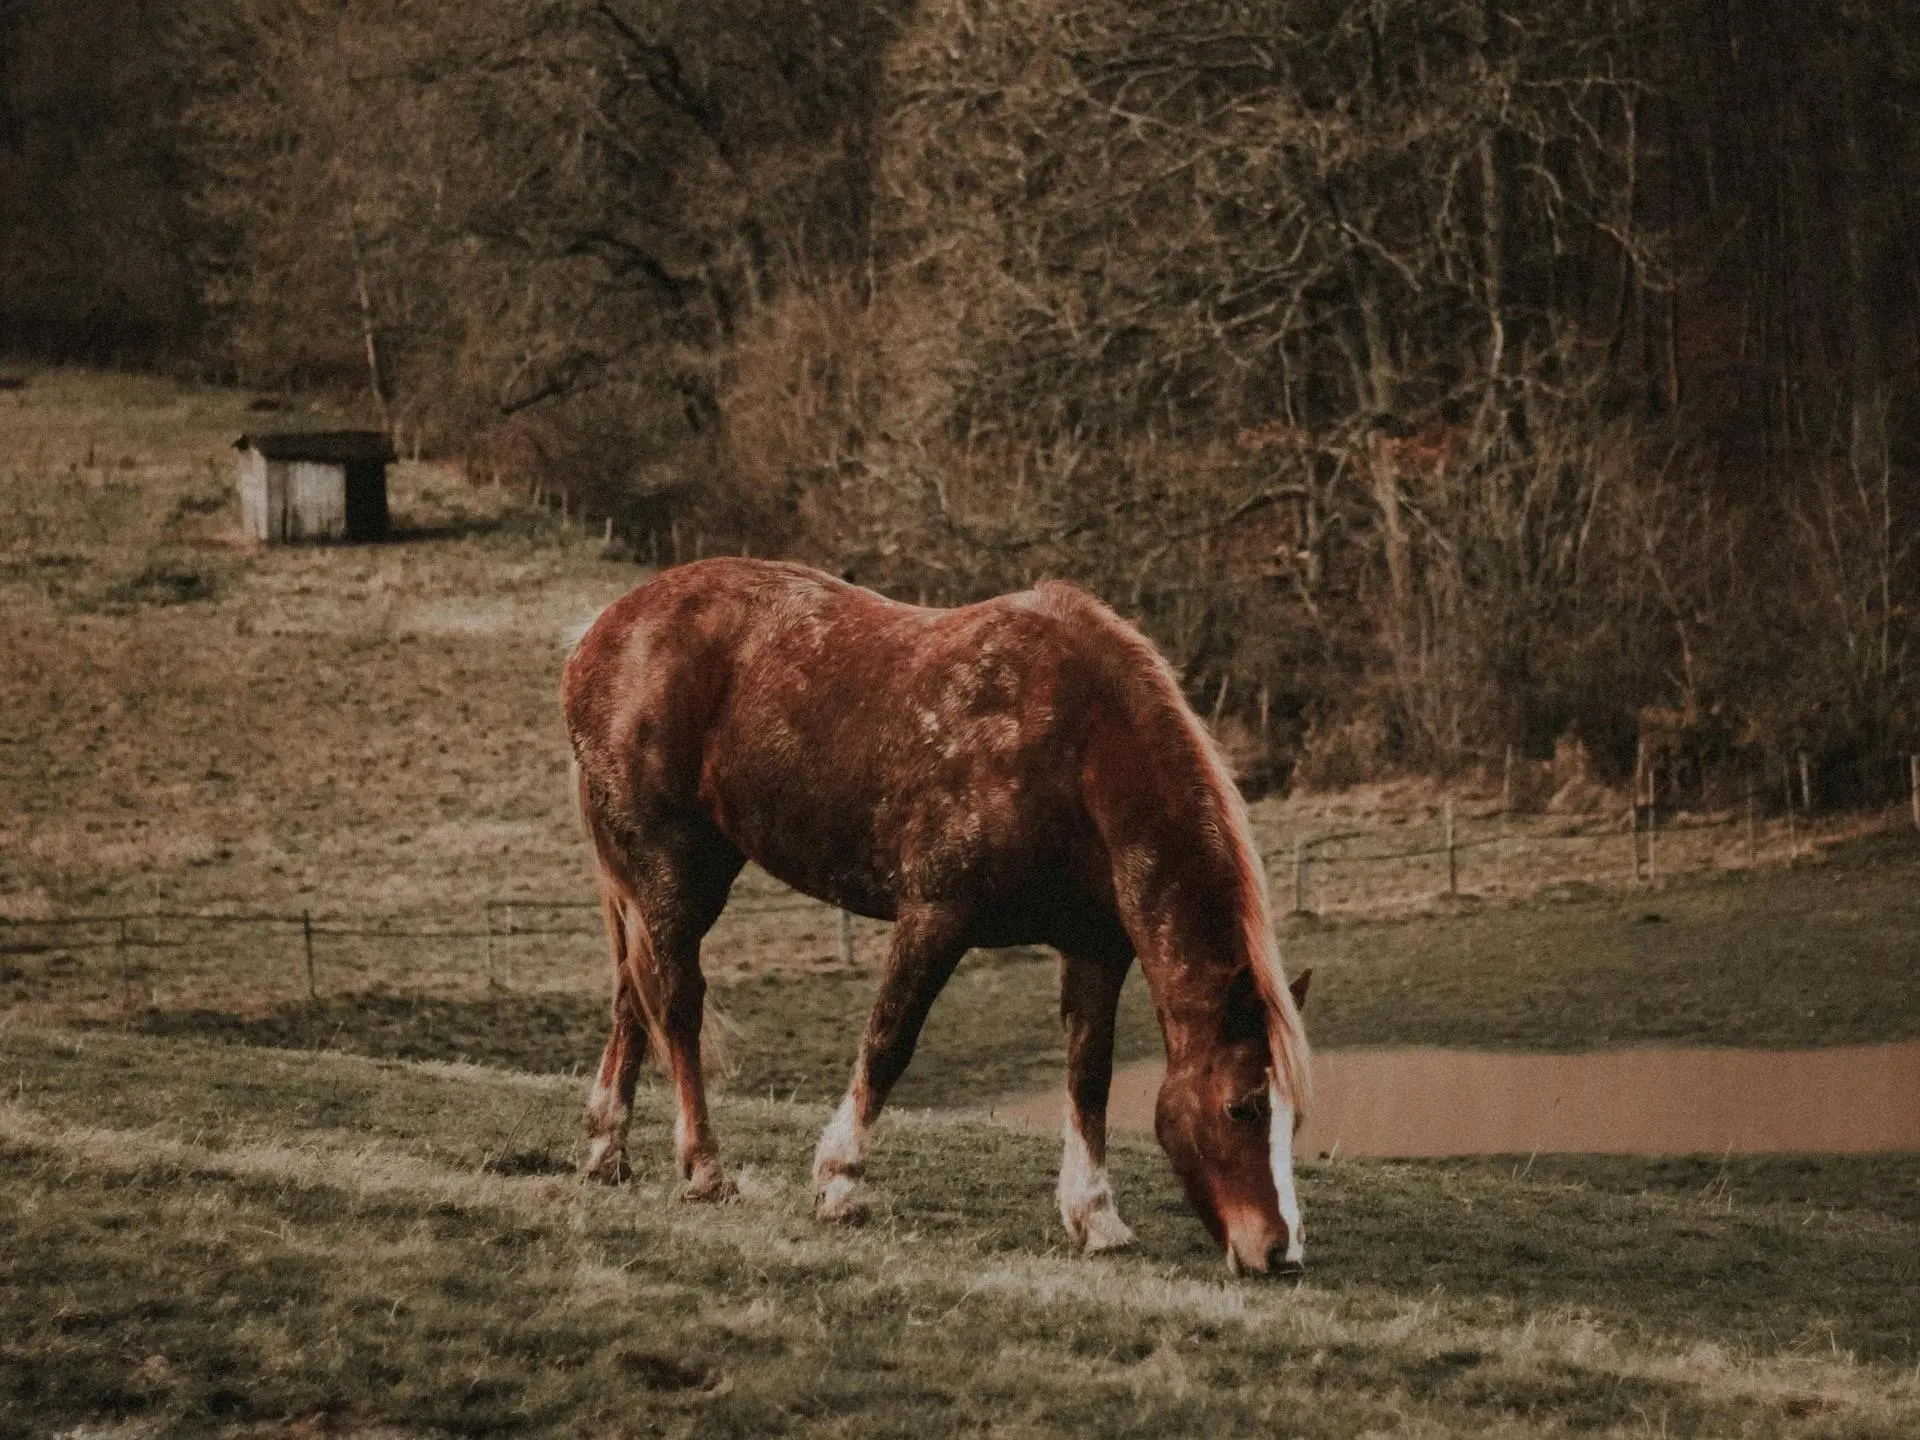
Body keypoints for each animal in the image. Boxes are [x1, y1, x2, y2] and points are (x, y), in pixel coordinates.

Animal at [560, 556, 1313, 1282]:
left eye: (1292, 1120)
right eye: (1241, 1107)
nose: (1281, 1253)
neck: (1078, 749)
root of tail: (598, 635)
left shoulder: (1094, 947)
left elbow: (1089, 1076)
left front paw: (1095, 1217)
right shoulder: (935, 917)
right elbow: (889, 1041)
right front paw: (839, 1181)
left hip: (672, 875)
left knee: (634, 994)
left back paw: (606, 1150)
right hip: (672, 865)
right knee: (676, 1004)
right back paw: (704, 1169)